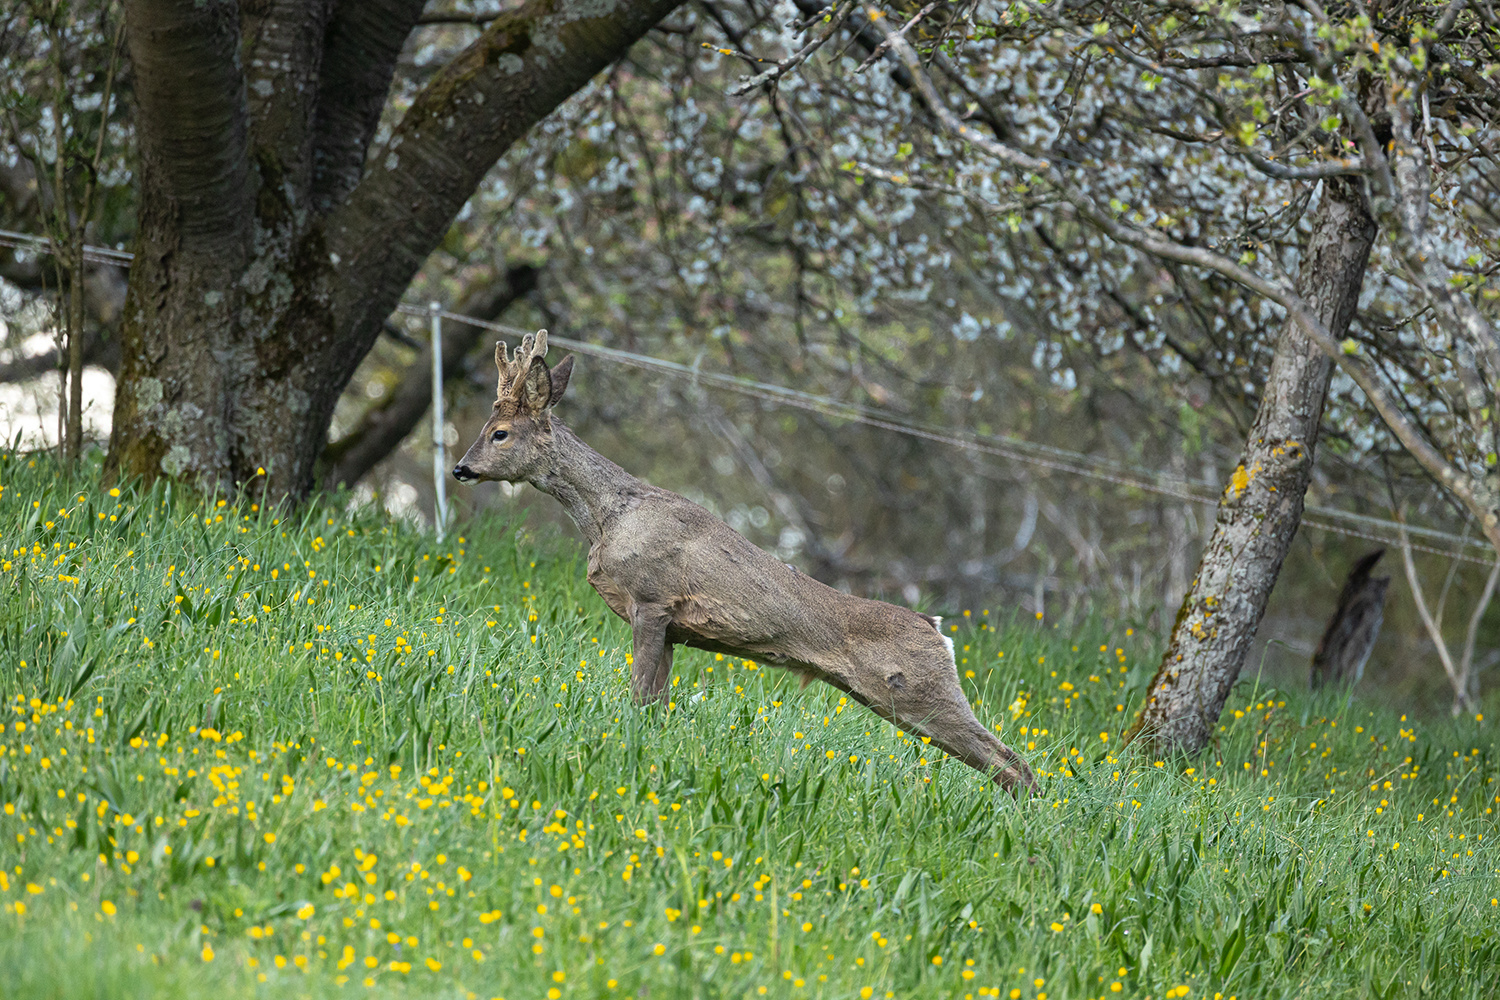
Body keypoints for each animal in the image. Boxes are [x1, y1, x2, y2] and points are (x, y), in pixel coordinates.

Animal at [450, 332, 1038, 791]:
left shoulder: (652, 600)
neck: (607, 519)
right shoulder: (674, 627)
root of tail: (936, 628)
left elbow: (639, 696)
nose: (460, 468)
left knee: (1013, 762)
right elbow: (658, 704)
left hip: (921, 693)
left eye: (499, 433)